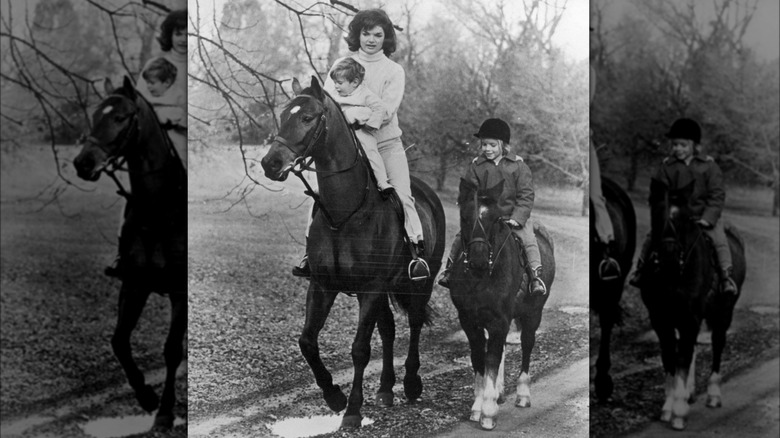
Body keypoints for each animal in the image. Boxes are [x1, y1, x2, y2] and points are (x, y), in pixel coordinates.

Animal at [260, 75, 444, 428]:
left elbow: (360, 348)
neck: (345, 213)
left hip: (419, 284)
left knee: (414, 323)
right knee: (388, 329)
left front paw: (353, 410)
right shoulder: (323, 286)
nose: (270, 163)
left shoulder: (371, 288)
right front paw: (334, 396)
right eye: (283, 115)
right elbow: (307, 341)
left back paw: (411, 383)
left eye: (307, 117)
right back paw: (385, 389)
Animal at [450, 177, 556, 428]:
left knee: (526, 345)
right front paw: (478, 405)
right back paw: (499, 392)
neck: (481, 277)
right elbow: (479, 358)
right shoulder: (469, 321)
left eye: (494, 219)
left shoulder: (499, 321)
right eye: (465, 217)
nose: (478, 259)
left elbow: (492, 358)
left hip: (532, 314)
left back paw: (522, 395)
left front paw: (488, 412)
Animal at [644, 179, 748, 432]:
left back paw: (713, 395)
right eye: (657, 214)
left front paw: (679, 412)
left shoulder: (690, 318)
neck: (674, 275)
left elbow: (682, 357)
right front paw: (669, 406)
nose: (669, 256)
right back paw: (690, 392)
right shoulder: (660, 318)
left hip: (724, 313)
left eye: (684, 218)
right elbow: (670, 357)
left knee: (717, 345)